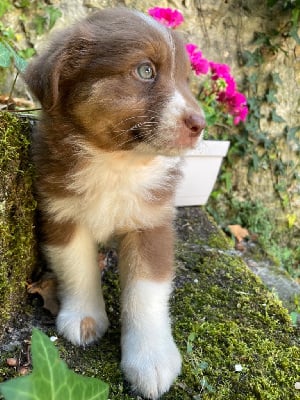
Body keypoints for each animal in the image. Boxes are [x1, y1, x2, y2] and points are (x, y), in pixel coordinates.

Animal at [24, 7, 205, 400]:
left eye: (185, 79)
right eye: (145, 71)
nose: (200, 124)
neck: (116, 162)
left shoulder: (151, 222)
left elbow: (146, 292)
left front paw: (151, 361)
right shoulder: (60, 212)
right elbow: (76, 268)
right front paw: (84, 317)